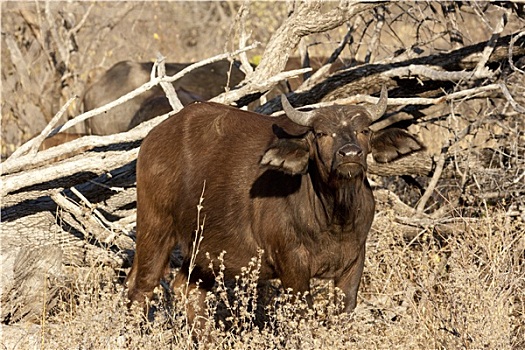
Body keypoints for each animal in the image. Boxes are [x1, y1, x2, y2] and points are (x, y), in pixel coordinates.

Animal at [128, 87, 426, 322]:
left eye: (363, 130)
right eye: (321, 133)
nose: (350, 154)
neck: (334, 216)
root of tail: (152, 140)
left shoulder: (355, 260)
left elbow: (344, 310)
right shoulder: (292, 266)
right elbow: (303, 315)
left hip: (203, 251)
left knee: (187, 289)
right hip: (155, 227)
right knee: (142, 286)